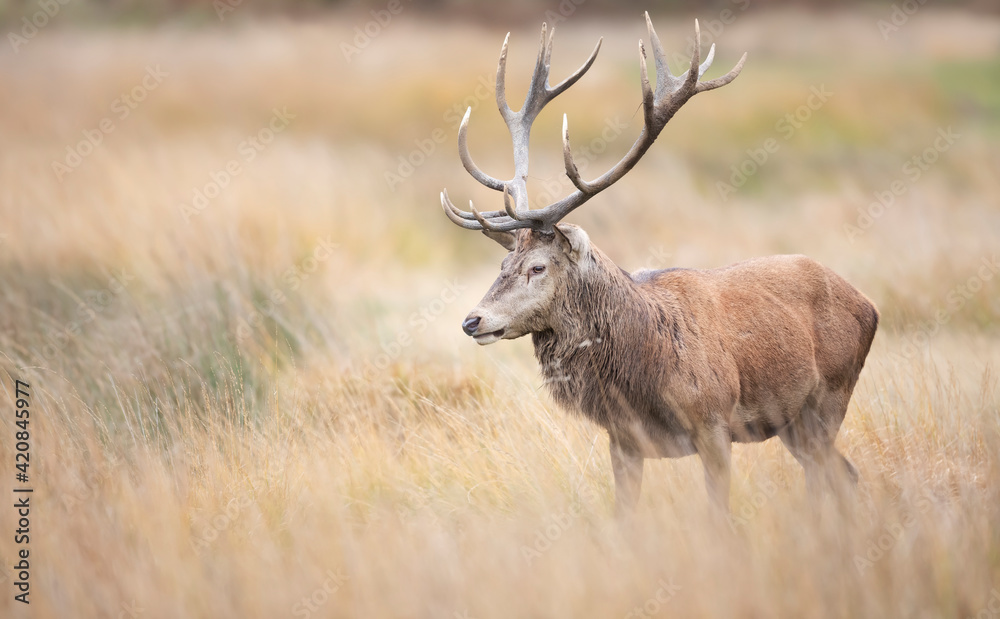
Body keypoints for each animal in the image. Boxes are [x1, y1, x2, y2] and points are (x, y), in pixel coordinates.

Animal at [440, 13, 879, 515]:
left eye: (537, 267)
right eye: (502, 263)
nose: (472, 320)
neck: (645, 371)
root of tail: (869, 306)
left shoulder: (715, 423)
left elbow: (718, 514)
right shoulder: (623, 439)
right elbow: (624, 516)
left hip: (829, 398)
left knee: (830, 473)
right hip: (794, 423)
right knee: (842, 474)